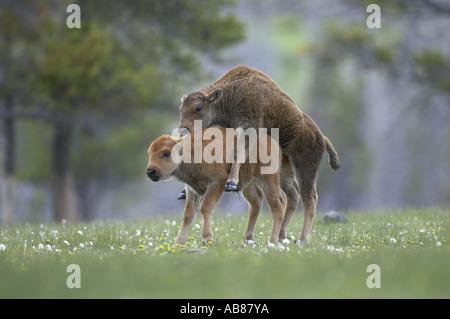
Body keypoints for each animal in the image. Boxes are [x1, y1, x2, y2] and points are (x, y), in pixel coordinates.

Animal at [144, 127, 298, 245]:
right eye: (149, 153)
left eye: (166, 152)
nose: (150, 171)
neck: (191, 151)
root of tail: (274, 143)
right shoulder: (192, 190)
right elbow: (188, 214)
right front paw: (178, 242)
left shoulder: (217, 183)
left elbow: (205, 207)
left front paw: (207, 239)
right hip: (249, 185)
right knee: (257, 203)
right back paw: (247, 240)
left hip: (268, 179)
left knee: (278, 204)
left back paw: (272, 241)